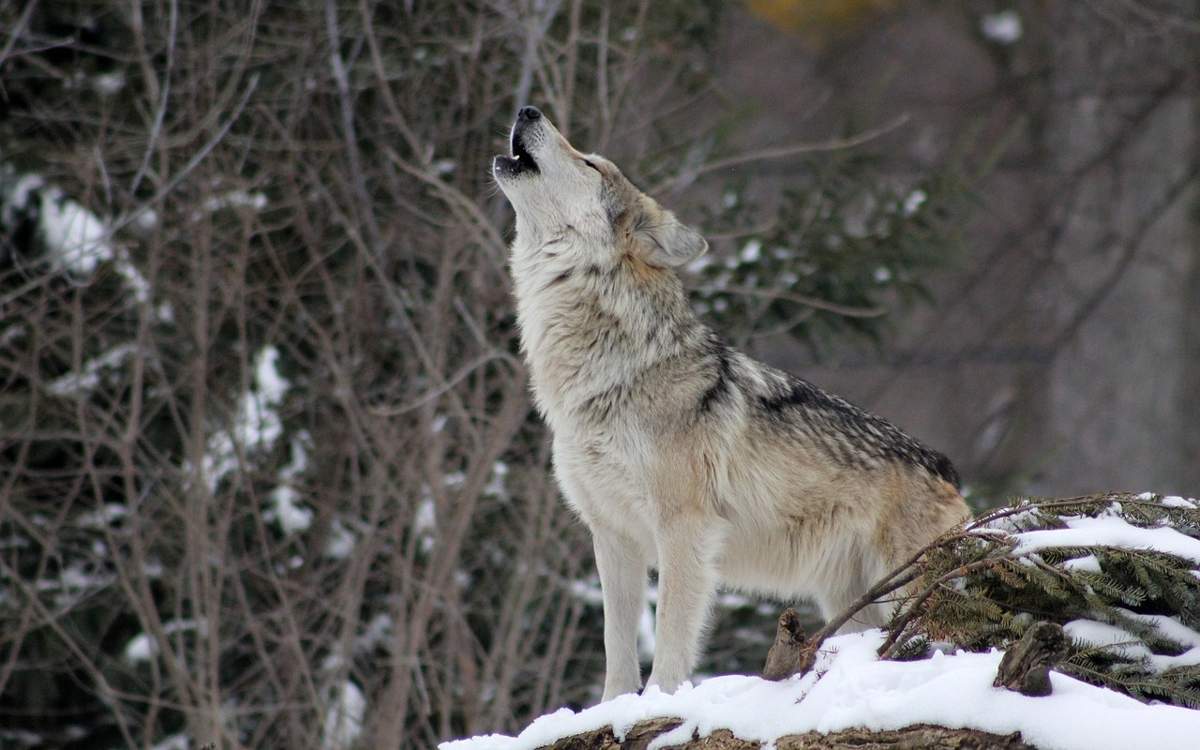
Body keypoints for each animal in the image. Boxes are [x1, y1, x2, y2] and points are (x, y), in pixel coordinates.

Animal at [492, 106, 969, 700]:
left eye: (590, 163)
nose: (527, 110)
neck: (609, 374)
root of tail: (947, 468)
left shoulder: (684, 528)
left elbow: (671, 636)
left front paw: (659, 702)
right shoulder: (612, 536)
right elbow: (616, 648)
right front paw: (613, 708)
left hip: (906, 591)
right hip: (852, 604)